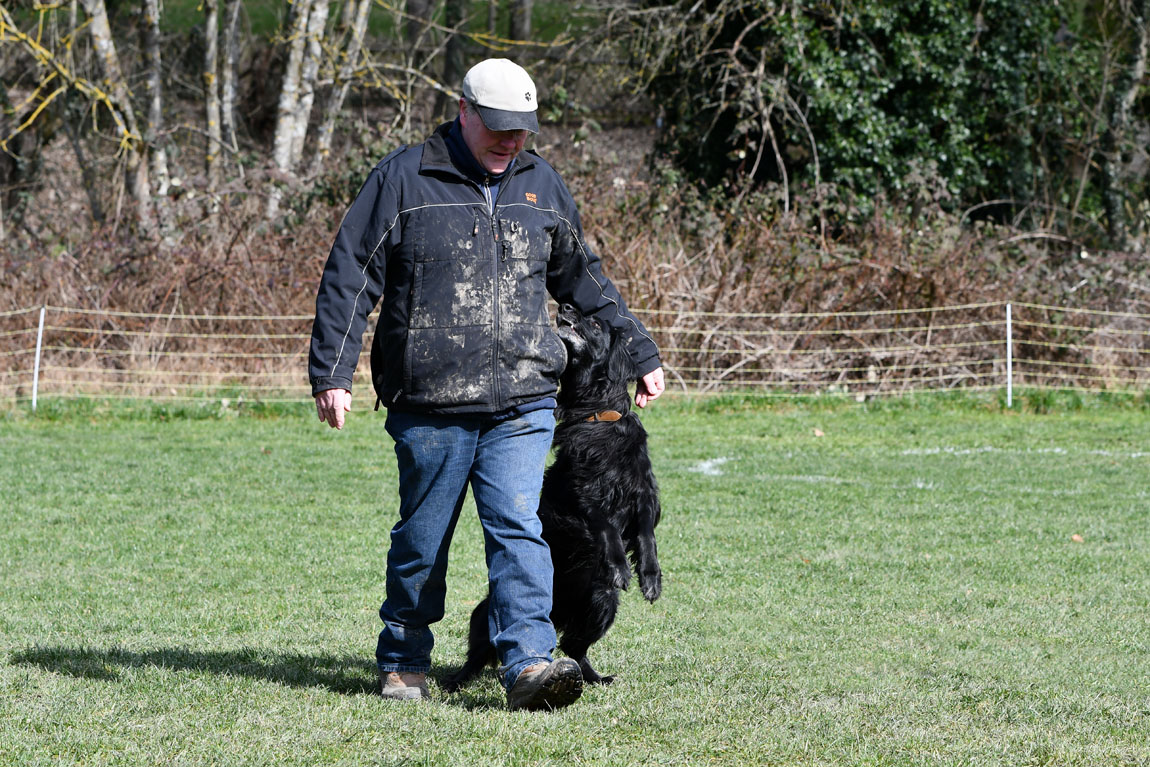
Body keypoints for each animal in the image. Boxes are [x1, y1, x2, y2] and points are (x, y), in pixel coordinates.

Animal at [448, 305, 667, 689]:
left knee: (573, 646)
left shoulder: (643, 493)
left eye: (594, 322)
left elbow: (646, 535)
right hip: (487, 611)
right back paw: (456, 681)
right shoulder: (580, 495)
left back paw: (592, 678)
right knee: (481, 651)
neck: (598, 416)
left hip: (601, 603)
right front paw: (620, 567)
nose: (565, 307)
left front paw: (651, 579)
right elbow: (606, 527)